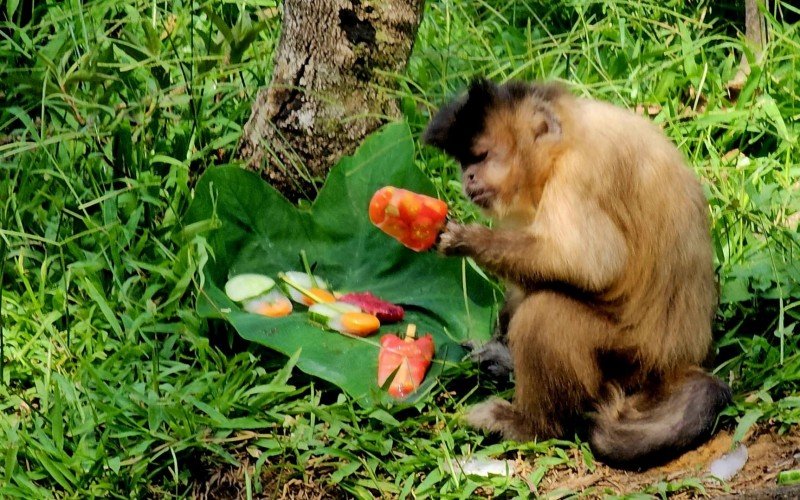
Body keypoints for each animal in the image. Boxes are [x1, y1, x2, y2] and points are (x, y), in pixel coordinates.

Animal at [422, 79, 732, 469]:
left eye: (481, 157)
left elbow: (589, 265)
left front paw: (464, 239)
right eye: (465, 162)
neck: (568, 136)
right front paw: (497, 348)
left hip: (632, 361)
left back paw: (533, 425)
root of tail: (684, 360)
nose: (468, 177)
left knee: (546, 312)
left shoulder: (578, 173)